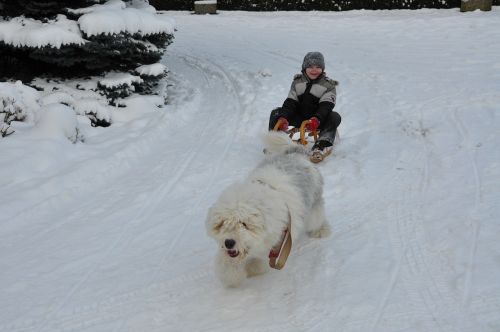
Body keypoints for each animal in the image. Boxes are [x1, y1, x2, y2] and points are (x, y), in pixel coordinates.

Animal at [205, 132, 330, 288]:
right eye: (222, 223)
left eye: (243, 224)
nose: (229, 242)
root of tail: (295, 153)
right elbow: (227, 264)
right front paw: (231, 276)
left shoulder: (277, 241)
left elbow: (259, 260)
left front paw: (253, 269)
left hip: (313, 205)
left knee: (317, 218)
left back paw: (321, 230)